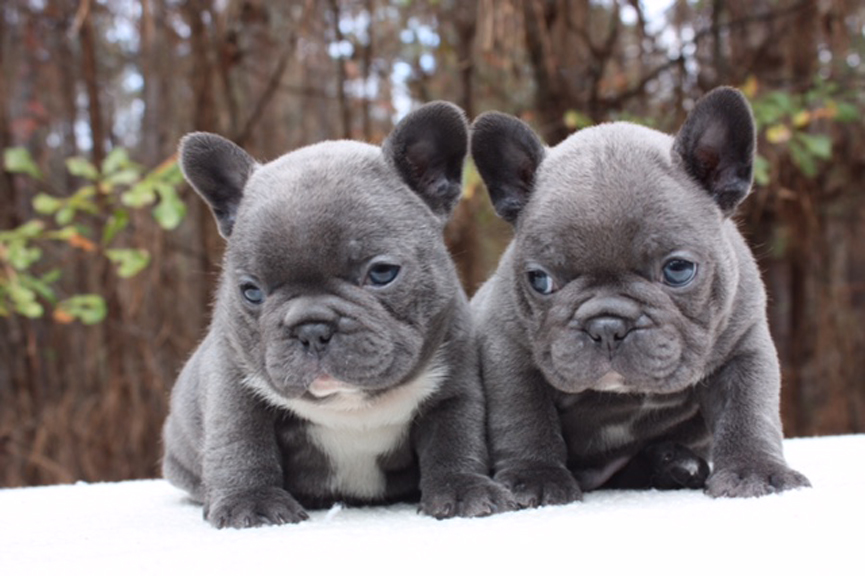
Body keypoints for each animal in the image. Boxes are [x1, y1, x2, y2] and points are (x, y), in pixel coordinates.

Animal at [161, 101, 512, 528]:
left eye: (382, 273)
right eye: (251, 292)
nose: (311, 328)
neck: (350, 404)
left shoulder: (452, 386)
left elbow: (455, 437)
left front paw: (463, 488)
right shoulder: (235, 386)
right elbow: (241, 442)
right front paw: (252, 502)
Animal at [466, 88, 808, 506]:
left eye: (678, 269)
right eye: (540, 280)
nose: (607, 325)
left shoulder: (744, 349)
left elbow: (748, 410)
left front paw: (755, 470)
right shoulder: (509, 353)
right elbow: (524, 417)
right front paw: (536, 477)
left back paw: (674, 464)